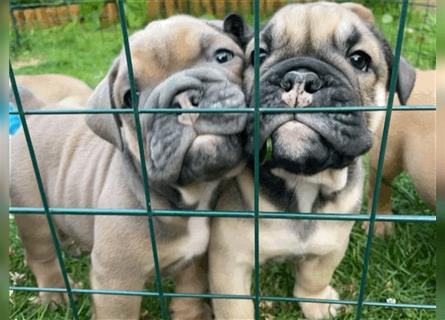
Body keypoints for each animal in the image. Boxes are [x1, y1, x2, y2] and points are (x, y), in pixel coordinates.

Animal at [11, 13, 250, 318]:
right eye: (129, 98)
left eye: (223, 56)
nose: (183, 98)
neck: (189, 196)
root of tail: (35, 111)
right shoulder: (117, 281)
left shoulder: (193, 260)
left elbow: (190, 291)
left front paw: (191, 315)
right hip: (34, 217)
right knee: (41, 255)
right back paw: (55, 295)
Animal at [210, 3, 414, 320]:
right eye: (258, 56)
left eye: (359, 60)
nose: (299, 78)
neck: (303, 179)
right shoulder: (229, 261)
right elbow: (235, 308)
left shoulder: (331, 244)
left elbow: (314, 277)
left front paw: (316, 302)